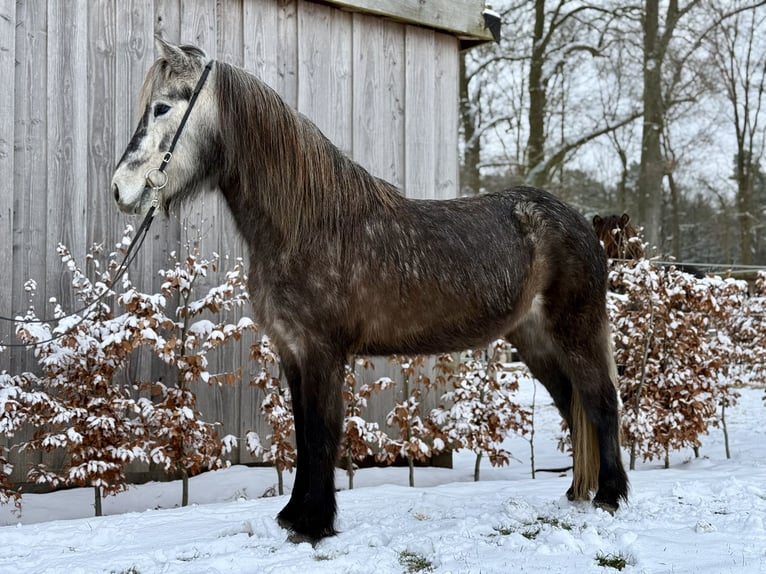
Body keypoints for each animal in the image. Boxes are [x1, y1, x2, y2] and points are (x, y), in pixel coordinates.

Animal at [111, 38, 628, 543]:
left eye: (161, 107)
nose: (119, 188)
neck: (308, 225)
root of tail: (578, 223)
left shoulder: (322, 352)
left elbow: (321, 433)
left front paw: (314, 524)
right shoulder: (293, 352)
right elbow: (303, 433)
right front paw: (294, 516)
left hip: (575, 333)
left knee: (601, 402)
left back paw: (610, 496)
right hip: (535, 341)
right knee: (573, 405)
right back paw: (578, 492)